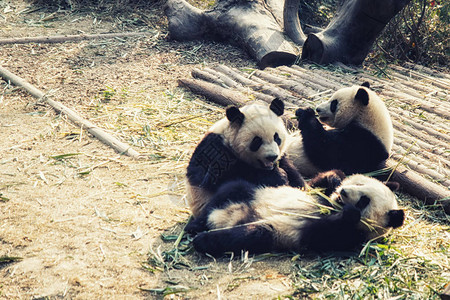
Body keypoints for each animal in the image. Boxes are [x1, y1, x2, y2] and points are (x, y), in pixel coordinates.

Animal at [186, 171, 404, 258]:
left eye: (364, 200)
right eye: (359, 183)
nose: (343, 192)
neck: (331, 206)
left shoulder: (352, 237)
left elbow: (325, 234)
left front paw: (350, 213)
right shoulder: (314, 193)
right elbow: (311, 184)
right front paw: (335, 179)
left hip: (274, 231)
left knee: (248, 235)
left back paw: (203, 239)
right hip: (255, 192)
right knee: (233, 188)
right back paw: (195, 225)